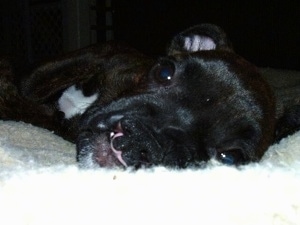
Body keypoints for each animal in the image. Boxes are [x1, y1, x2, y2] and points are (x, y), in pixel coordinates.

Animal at [0, 24, 298, 169]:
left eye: (229, 157)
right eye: (165, 71)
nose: (141, 140)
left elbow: (36, 113)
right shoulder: (104, 52)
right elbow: (30, 87)